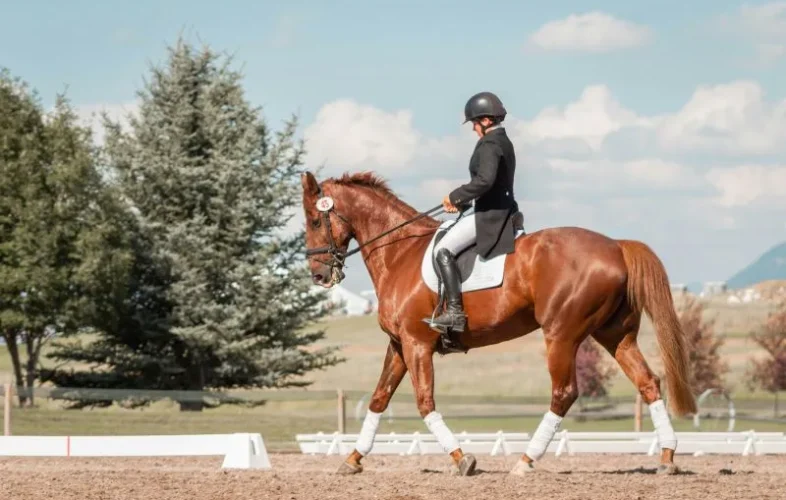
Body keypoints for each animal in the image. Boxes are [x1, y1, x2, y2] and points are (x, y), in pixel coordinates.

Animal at [300, 170, 696, 477]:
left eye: (316, 220)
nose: (319, 275)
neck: (399, 253)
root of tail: (615, 246)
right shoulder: (399, 344)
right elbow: (379, 398)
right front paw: (353, 459)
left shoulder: (416, 344)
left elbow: (425, 402)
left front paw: (462, 460)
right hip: (615, 335)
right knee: (648, 382)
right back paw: (667, 457)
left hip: (561, 334)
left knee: (564, 393)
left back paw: (525, 461)